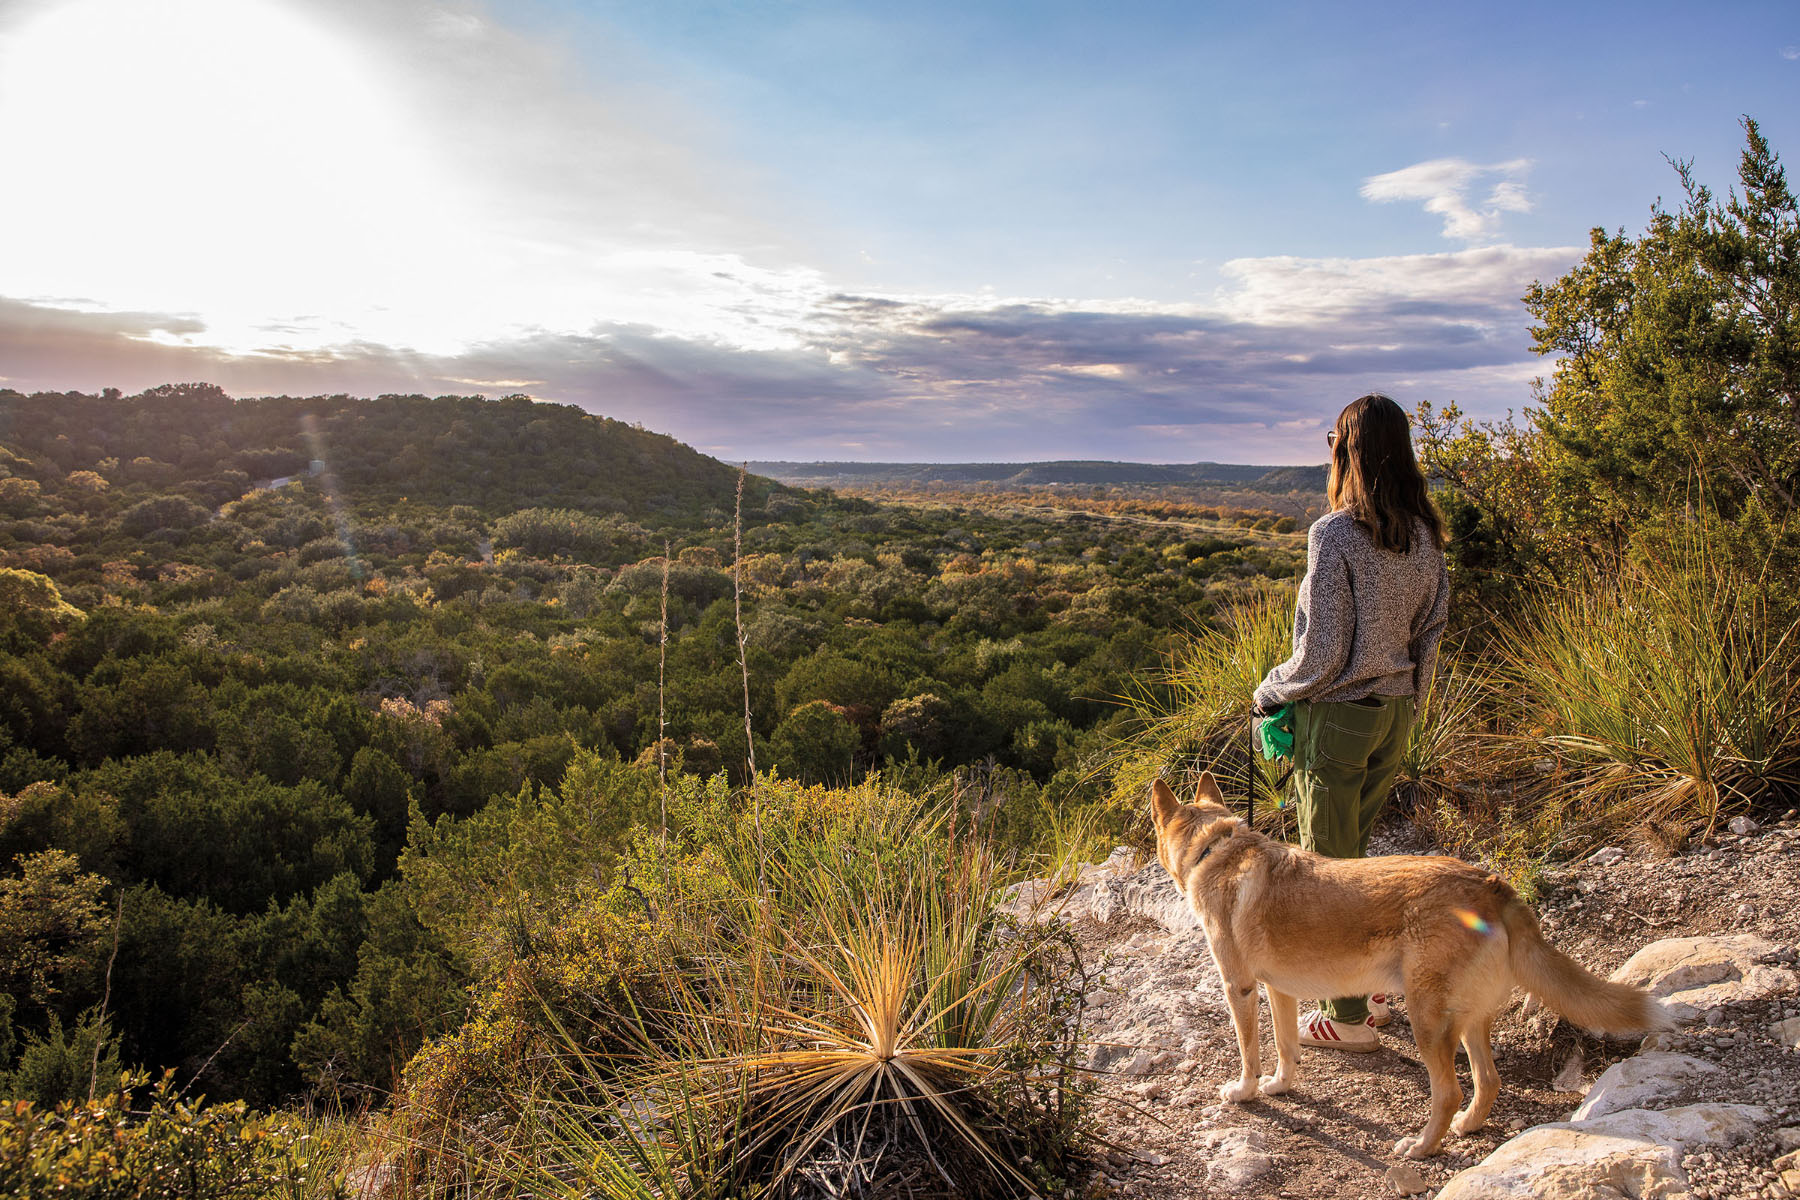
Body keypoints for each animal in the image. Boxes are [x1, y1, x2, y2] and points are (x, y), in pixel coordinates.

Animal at [1152, 773, 1670, 1158]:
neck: (1215, 848)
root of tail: (1491, 884)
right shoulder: (1280, 990)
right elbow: (1285, 1048)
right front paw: (1280, 1085)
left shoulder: (1239, 987)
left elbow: (1249, 1053)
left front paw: (1247, 1091)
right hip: (1467, 1021)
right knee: (1488, 1081)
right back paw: (1466, 1126)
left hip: (1427, 1022)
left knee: (1449, 1091)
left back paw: (1421, 1147)